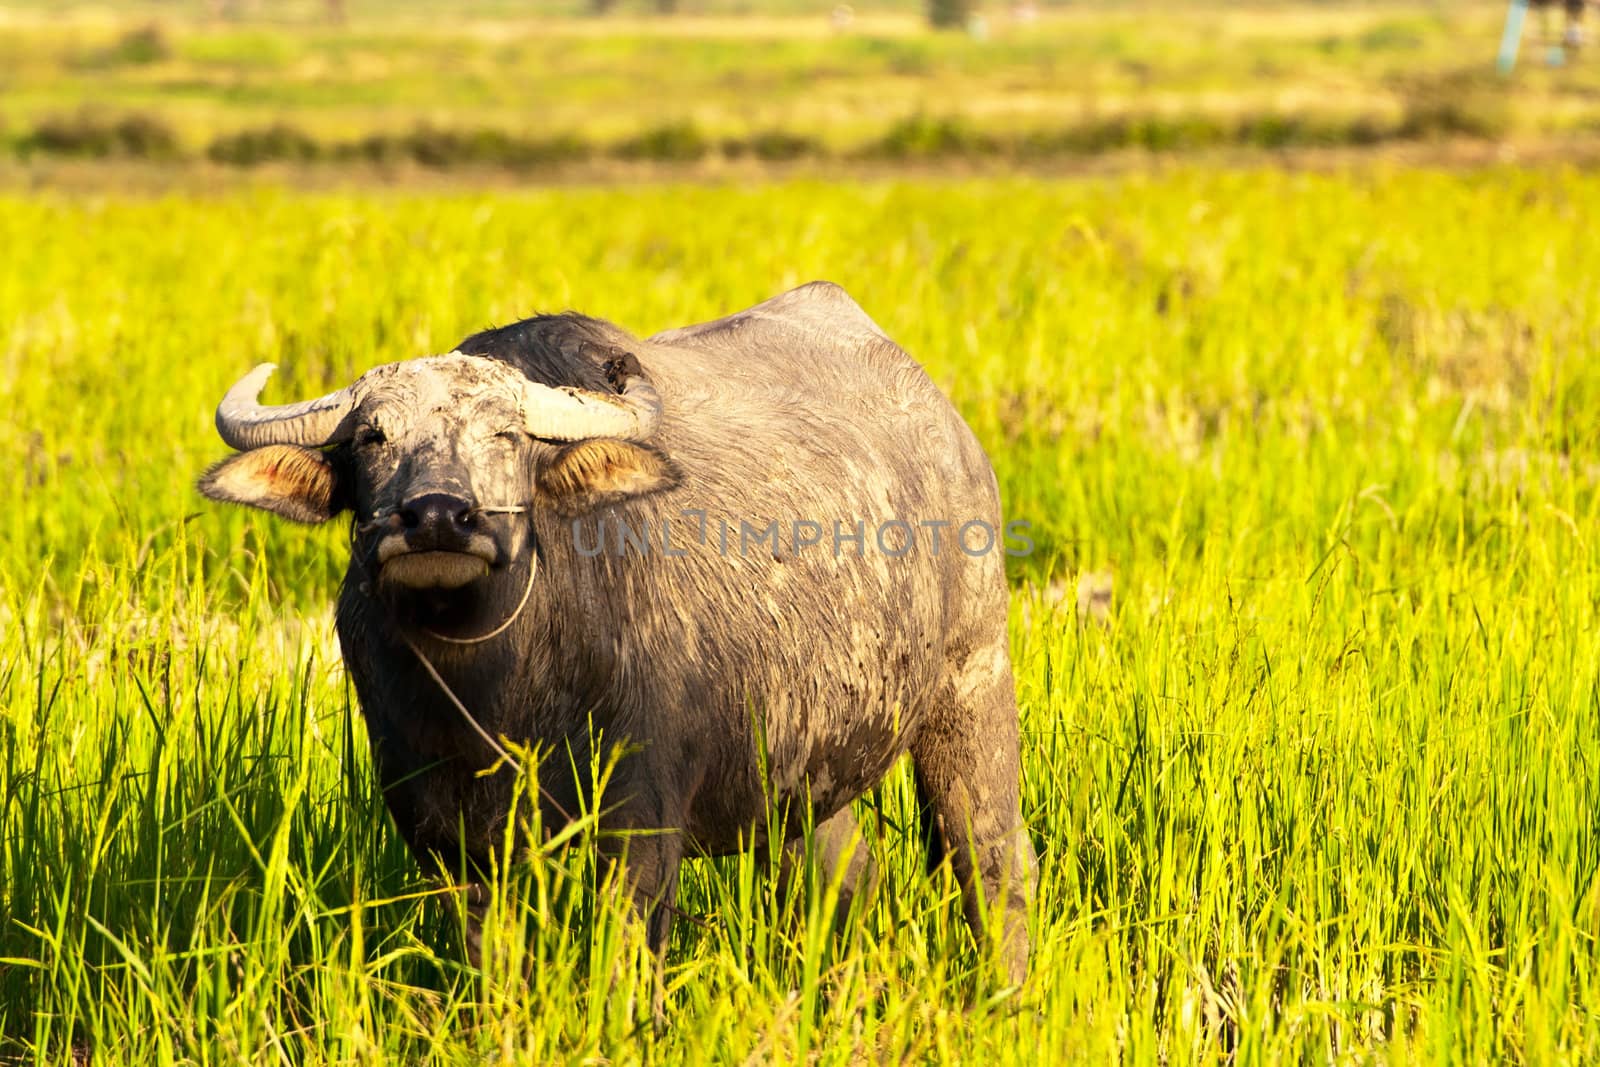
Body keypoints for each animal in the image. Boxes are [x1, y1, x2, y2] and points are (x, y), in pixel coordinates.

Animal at [200, 279, 1036, 979]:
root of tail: (950, 429)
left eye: (506, 436)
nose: (436, 515)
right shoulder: (445, 839)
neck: (491, 698)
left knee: (994, 862)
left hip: (972, 686)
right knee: (845, 881)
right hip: (806, 772)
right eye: (373, 437)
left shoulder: (640, 824)